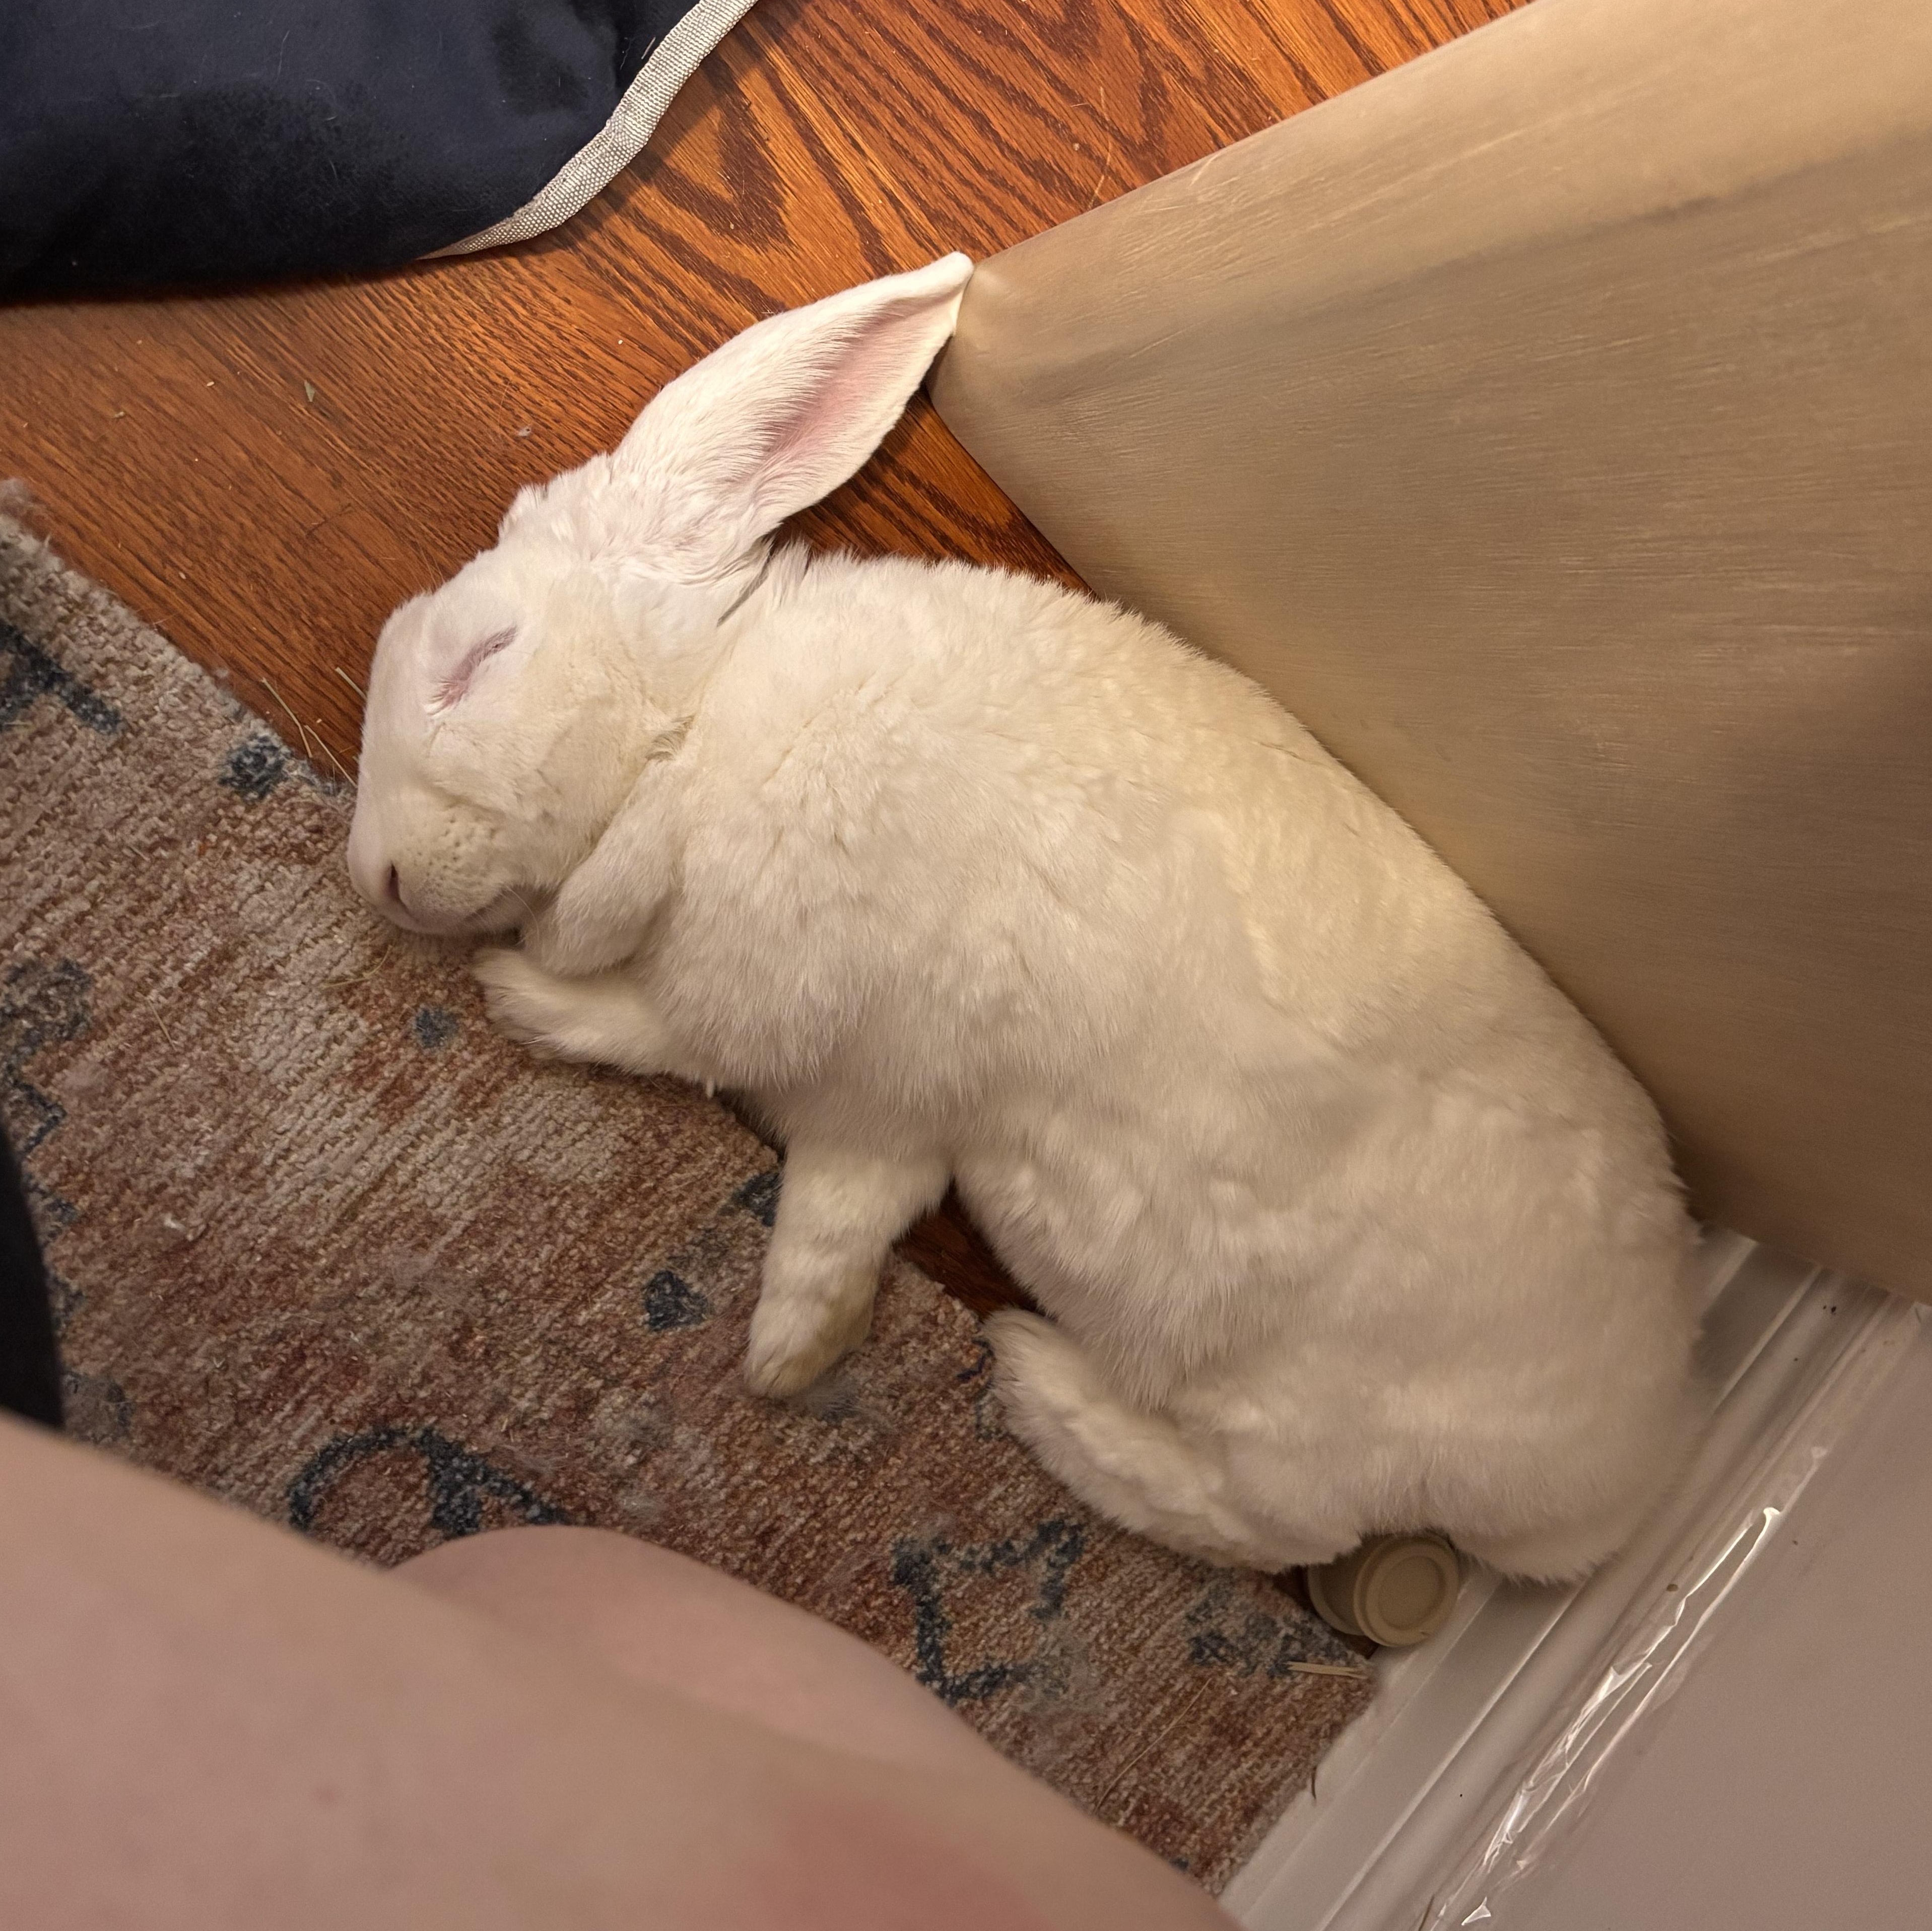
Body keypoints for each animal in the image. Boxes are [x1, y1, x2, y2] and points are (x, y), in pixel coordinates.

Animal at [346, 255, 1701, 1582]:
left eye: (478, 659)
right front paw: (790, 1358)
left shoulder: (772, 993)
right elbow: (839, 1216)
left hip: (1302, 1418)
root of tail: (1616, 1490)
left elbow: (657, 1032)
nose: (377, 877)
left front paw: (523, 998)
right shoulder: (883, 1101)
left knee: (1275, 1526)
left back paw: (1036, 1384)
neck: (699, 727)